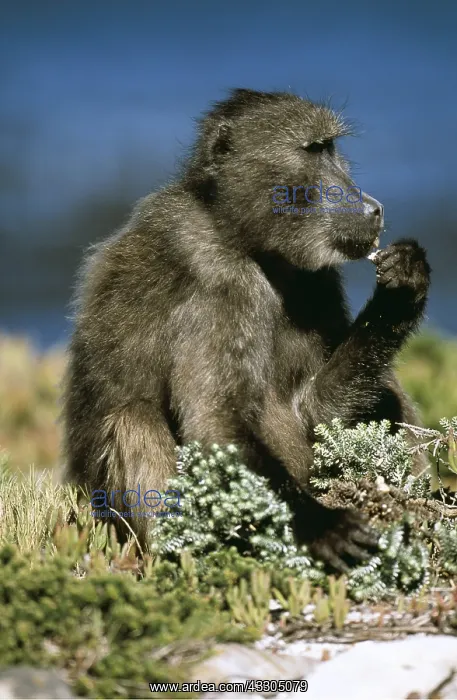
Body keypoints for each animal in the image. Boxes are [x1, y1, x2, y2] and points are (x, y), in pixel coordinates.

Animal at [62, 88, 431, 572]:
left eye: (332, 148)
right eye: (314, 150)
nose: (372, 209)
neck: (236, 232)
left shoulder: (315, 277)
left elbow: (314, 410)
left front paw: (404, 285)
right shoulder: (223, 283)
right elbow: (217, 422)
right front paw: (321, 525)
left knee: (386, 392)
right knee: (133, 419)